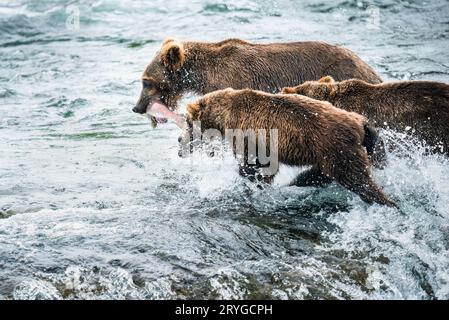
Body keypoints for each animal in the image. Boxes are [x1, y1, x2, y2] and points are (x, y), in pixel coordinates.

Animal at [180, 87, 394, 208]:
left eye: (188, 122)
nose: (180, 144)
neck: (223, 116)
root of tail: (361, 122)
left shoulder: (249, 135)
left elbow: (253, 165)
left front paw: (251, 182)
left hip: (336, 148)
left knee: (356, 178)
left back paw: (385, 202)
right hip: (331, 153)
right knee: (322, 174)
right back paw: (297, 182)